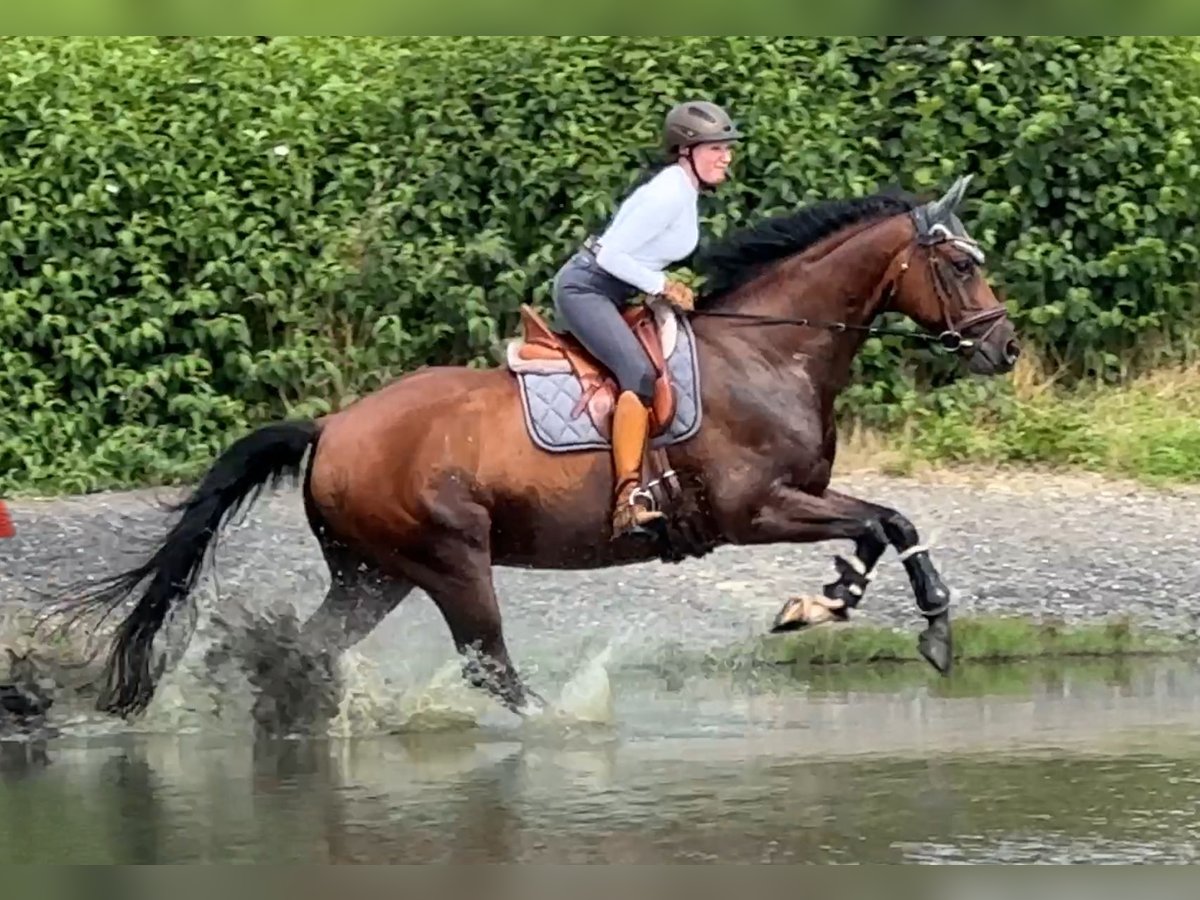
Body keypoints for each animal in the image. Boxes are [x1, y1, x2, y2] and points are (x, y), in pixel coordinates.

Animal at [51, 174, 1017, 720]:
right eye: (962, 265)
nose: (1004, 348)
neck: (770, 353)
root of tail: (332, 428)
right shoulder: (757, 510)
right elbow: (886, 520)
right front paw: (892, 620)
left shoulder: (796, 504)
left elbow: (880, 529)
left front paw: (835, 605)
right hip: (449, 561)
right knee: (488, 667)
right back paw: (558, 727)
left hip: (373, 573)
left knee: (316, 647)